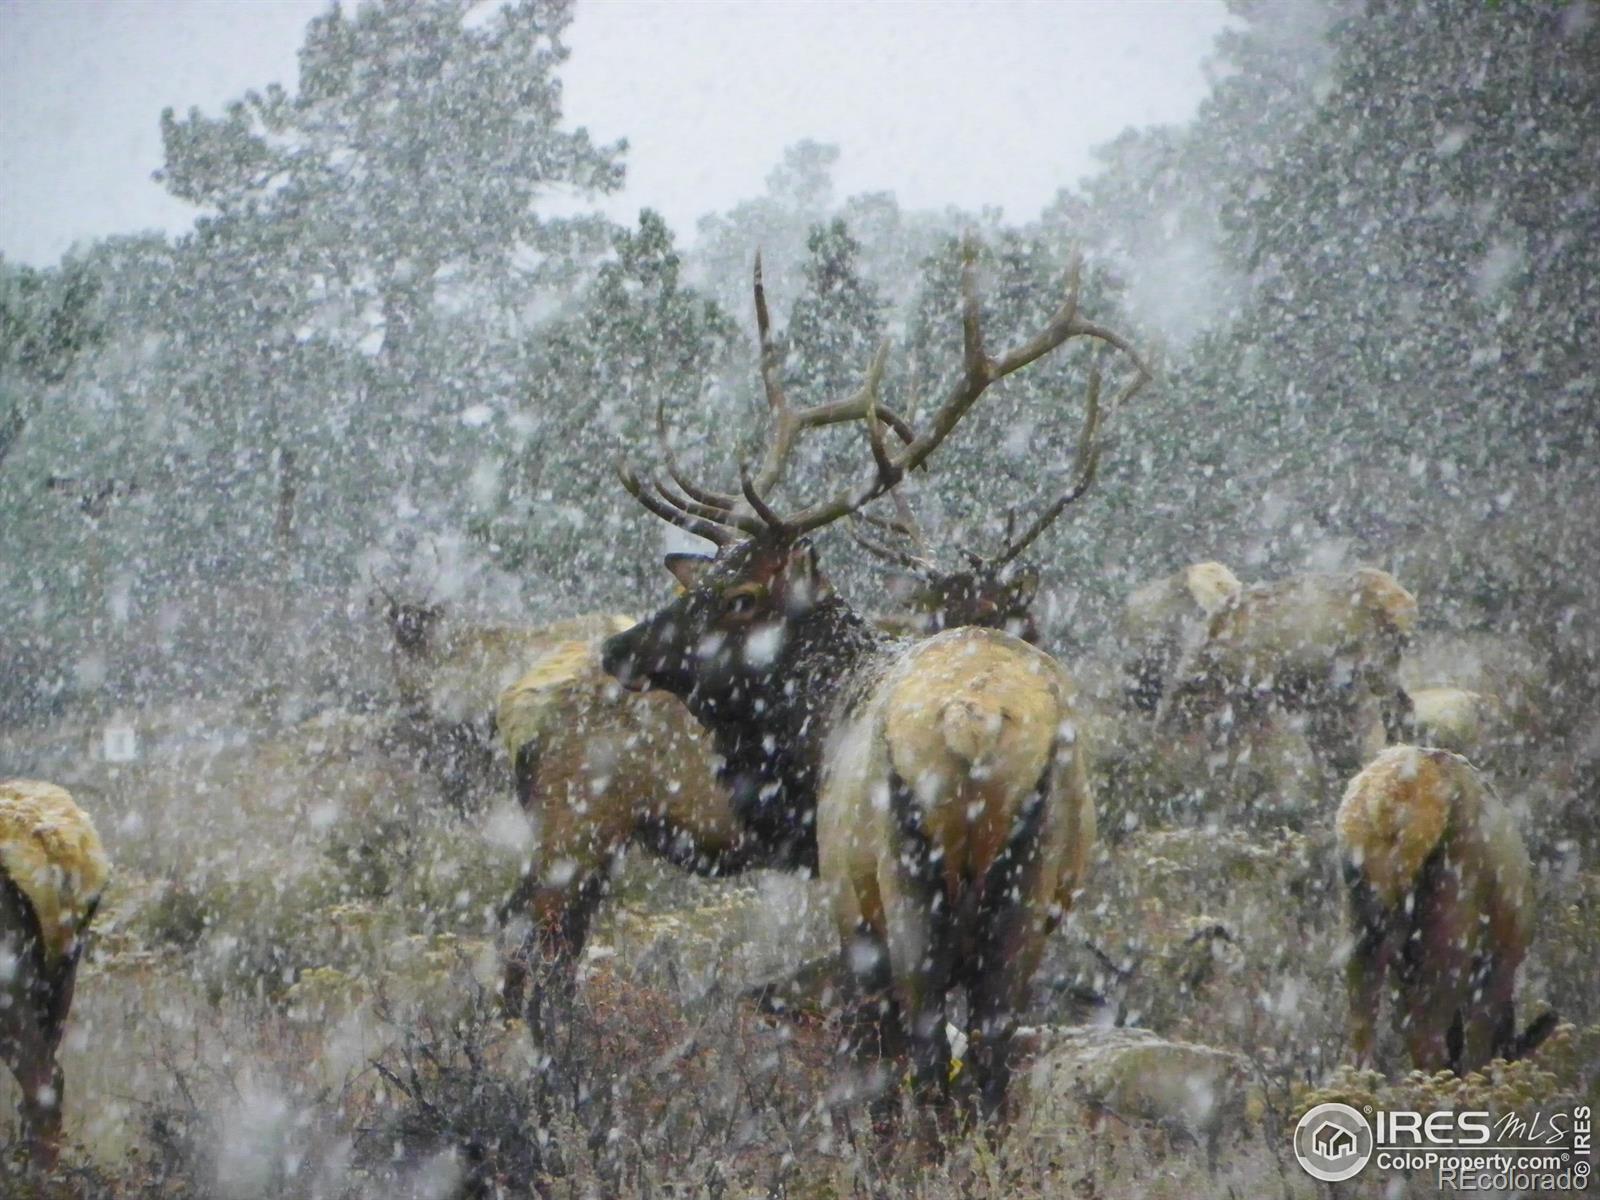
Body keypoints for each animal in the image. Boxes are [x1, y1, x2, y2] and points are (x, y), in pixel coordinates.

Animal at [601, 249, 1152, 1126]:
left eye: (740, 597)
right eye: (702, 579)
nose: (617, 647)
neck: (814, 733)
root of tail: (975, 725)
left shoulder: (845, 898)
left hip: (905, 884)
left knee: (926, 1053)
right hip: (1032, 892)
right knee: (990, 1053)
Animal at [1337, 748, 1548, 1075]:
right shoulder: (1497, 967)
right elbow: (1477, 1045)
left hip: (1362, 922)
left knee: (1362, 1030)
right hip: (1450, 927)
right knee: (1428, 1034)